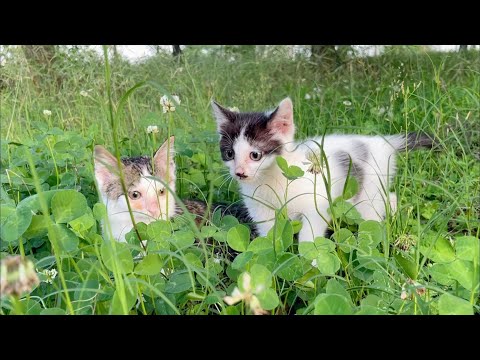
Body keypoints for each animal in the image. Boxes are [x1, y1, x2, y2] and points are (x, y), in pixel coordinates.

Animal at [212, 97, 434, 243]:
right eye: (230, 153)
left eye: (255, 155)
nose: (239, 172)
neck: (272, 180)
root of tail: (383, 143)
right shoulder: (260, 209)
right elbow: (270, 235)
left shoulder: (316, 204)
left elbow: (309, 235)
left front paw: (310, 265)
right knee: (390, 197)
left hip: (367, 192)